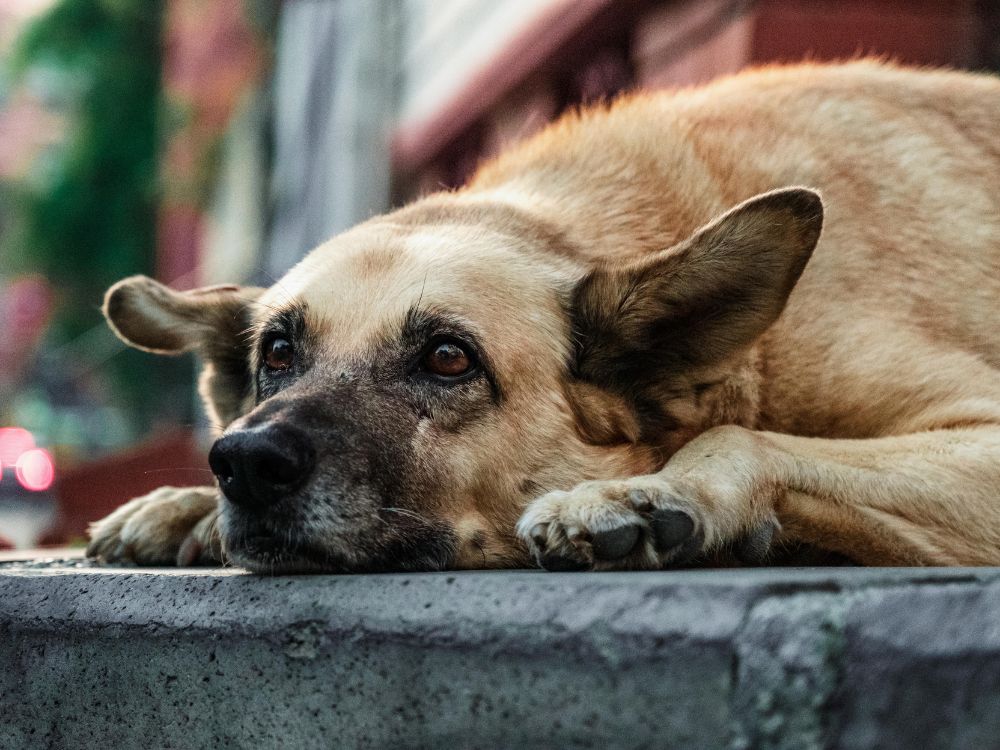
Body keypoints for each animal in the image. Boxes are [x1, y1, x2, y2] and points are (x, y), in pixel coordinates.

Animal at [88, 60, 1000, 576]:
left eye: (448, 358)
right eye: (277, 353)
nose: (242, 463)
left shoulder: (980, 432)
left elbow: (739, 436)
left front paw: (649, 493)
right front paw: (184, 506)